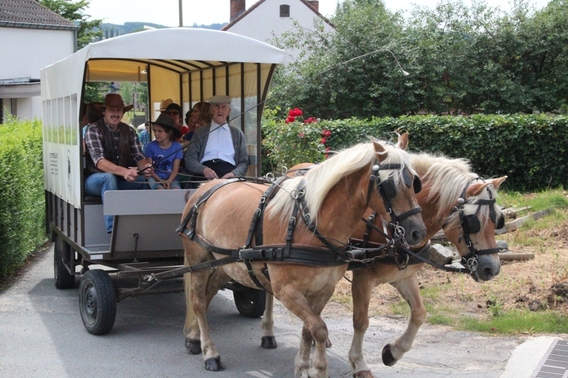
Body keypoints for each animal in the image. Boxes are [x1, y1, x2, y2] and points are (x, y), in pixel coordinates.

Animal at [180, 137, 424, 376]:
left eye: (414, 182)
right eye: (390, 185)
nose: (417, 232)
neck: (311, 225)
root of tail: (204, 187)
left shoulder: (324, 289)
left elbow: (309, 330)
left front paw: (303, 367)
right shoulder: (286, 291)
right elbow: (320, 328)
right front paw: (319, 369)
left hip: (227, 264)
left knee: (208, 294)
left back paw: (194, 337)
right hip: (199, 260)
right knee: (198, 301)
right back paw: (210, 353)